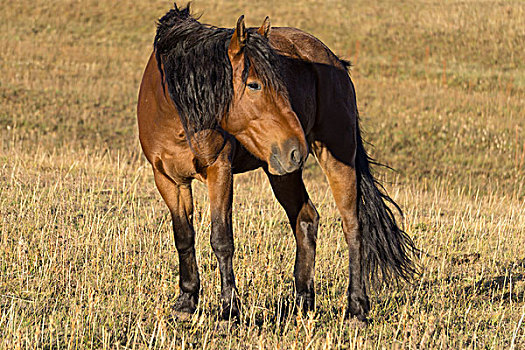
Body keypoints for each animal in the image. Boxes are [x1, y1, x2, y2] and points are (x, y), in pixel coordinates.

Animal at [137, 4, 416, 324]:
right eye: (254, 84)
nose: (297, 147)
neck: (177, 113)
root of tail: (333, 59)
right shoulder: (167, 179)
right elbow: (184, 237)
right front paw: (185, 302)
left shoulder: (219, 171)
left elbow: (221, 239)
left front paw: (229, 310)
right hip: (282, 171)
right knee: (306, 218)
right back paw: (303, 302)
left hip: (335, 155)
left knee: (353, 226)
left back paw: (356, 307)